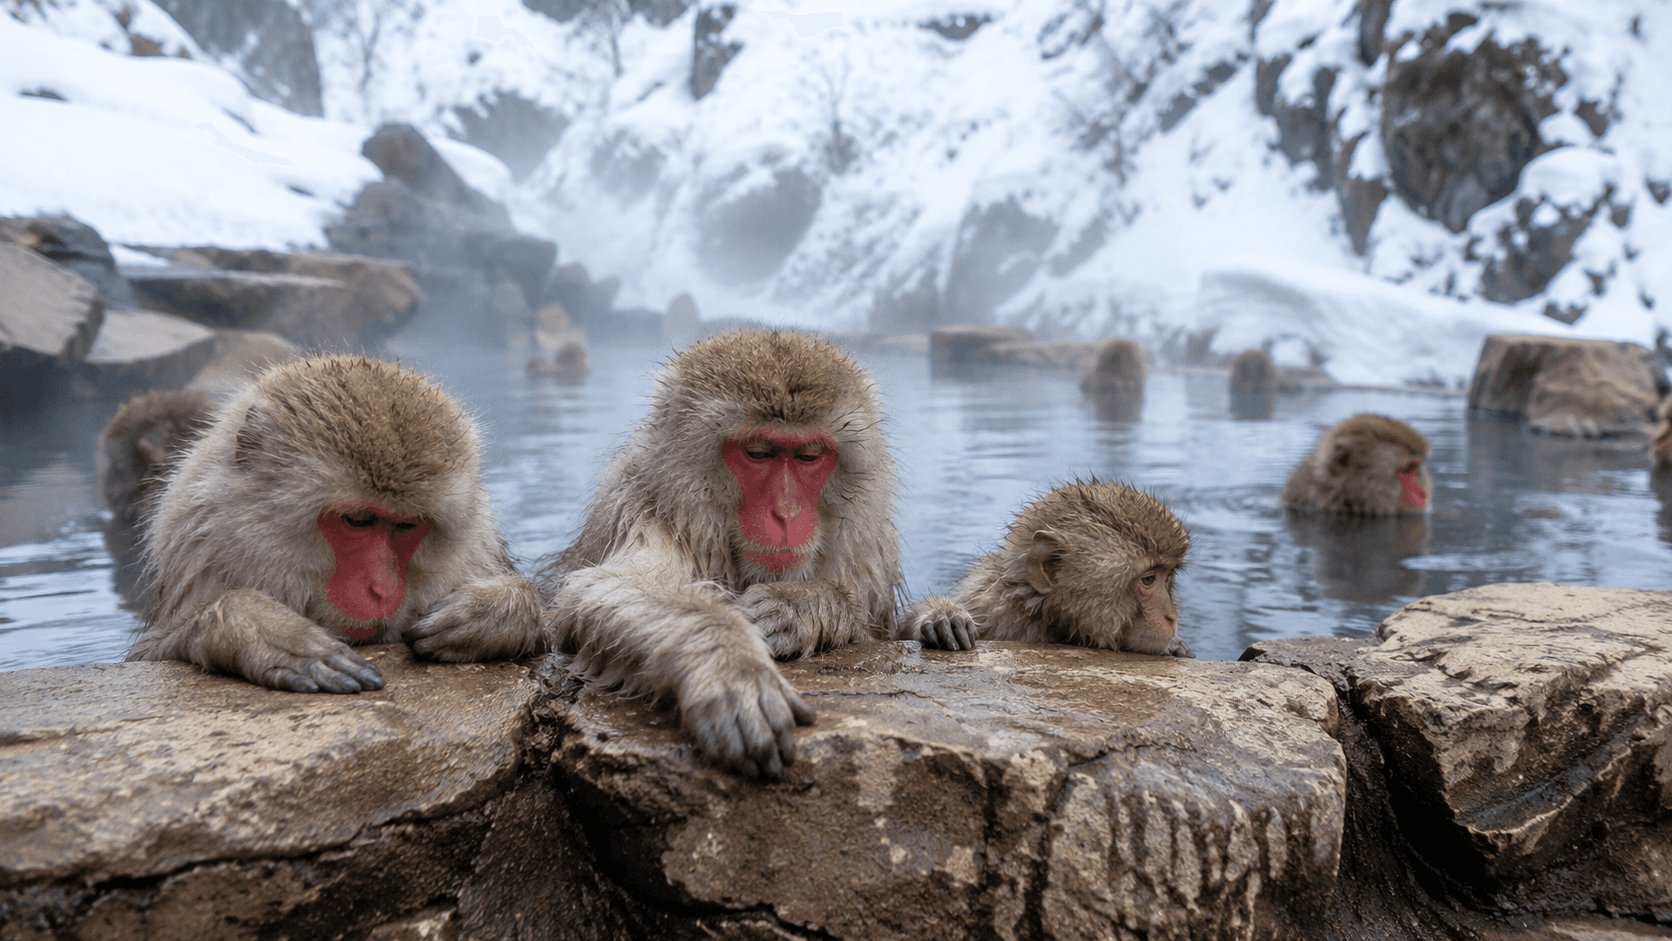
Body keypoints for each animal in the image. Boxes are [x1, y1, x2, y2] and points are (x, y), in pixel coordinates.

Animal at [127, 354, 546, 693]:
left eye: (407, 526)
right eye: (357, 521)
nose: (381, 589)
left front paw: (493, 614)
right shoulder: (198, 546)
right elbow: (151, 653)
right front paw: (263, 630)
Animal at [541, 329, 903, 778]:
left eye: (808, 456)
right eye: (759, 453)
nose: (786, 513)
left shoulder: (869, 546)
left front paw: (802, 606)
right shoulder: (640, 507)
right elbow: (607, 588)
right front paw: (730, 665)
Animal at [902, 479, 1193, 657]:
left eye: (1167, 578)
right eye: (1148, 580)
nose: (1171, 617)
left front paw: (1177, 646)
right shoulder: (990, 607)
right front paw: (943, 616)